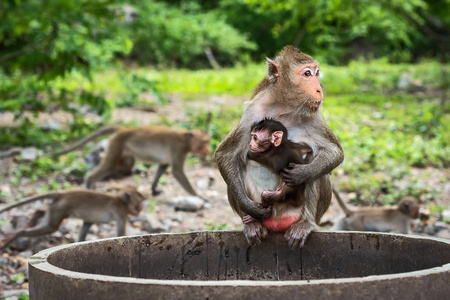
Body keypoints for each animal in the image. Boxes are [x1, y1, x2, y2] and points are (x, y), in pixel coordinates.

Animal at [0, 188, 144, 248]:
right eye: (137, 205)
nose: (141, 209)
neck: (120, 201)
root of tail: (63, 193)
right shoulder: (120, 213)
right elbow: (121, 233)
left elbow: (87, 224)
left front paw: (79, 242)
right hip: (60, 207)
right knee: (51, 227)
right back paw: (19, 233)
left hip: (56, 206)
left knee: (44, 214)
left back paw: (35, 216)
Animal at [52, 125, 209, 196]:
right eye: (205, 142)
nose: (208, 150)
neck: (186, 140)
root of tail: (123, 128)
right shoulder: (178, 149)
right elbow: (176, 171)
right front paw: (196, 195)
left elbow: (163, 166)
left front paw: (153, 188)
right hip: (116, 143)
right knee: (109, 165)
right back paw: (89, 184)